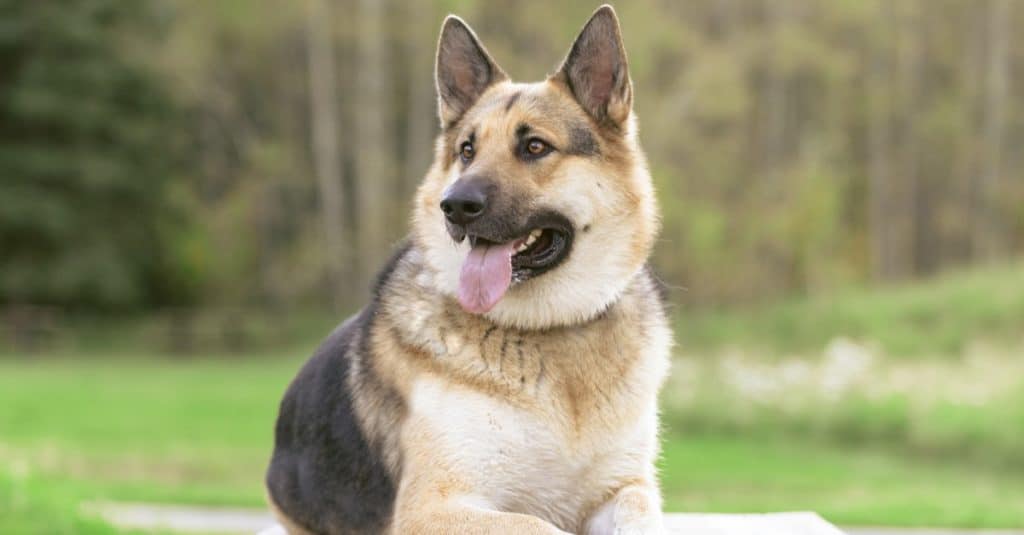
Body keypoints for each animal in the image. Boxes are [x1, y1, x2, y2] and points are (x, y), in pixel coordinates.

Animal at [264, 5, 671, 532]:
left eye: (535, 147)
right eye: (466, 151)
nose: (454, 206)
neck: (550, 333)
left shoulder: (627, 489)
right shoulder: (432, 508)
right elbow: (540, 524)